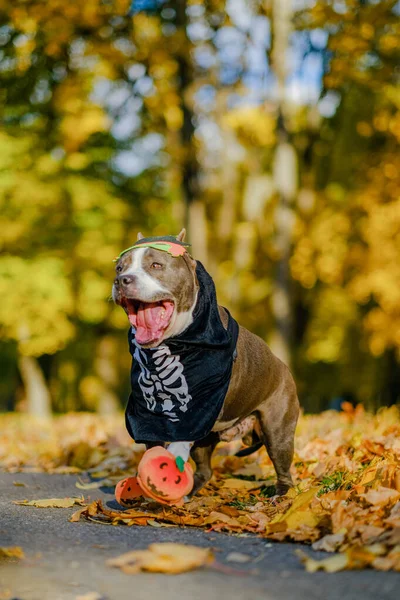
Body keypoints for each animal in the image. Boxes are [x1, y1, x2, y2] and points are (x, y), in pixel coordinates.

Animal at [113, 227, 300, 494]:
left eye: (156, 265)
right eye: (119, 268)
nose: (122, 280)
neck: (173, 345)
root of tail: (282, 365)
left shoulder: (203, 401)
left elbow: (182, 433)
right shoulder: (145, 409)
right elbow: (153, 441)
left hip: (278, 430)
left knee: (282, 465)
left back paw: (282, 494)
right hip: (208, 438)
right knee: (205, 469)